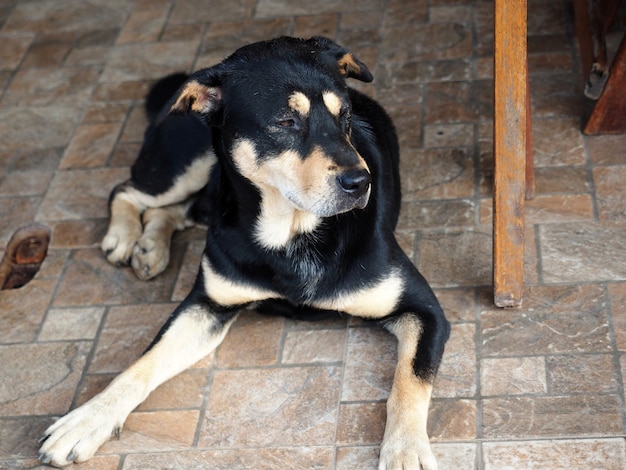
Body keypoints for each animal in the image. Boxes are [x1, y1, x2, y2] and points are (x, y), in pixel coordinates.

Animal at [37, 36, 448, 470]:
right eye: (285, 122)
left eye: (346, 115)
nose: (360, 181)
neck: (291, 234)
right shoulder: (208, 304)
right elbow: (143, 363)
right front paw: (88, 418)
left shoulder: (424, 309)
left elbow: (408, 383)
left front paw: (405, 449)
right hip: (186, 166)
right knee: (128, 190)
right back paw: (126, 236)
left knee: (177, 210)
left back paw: (150, 246)